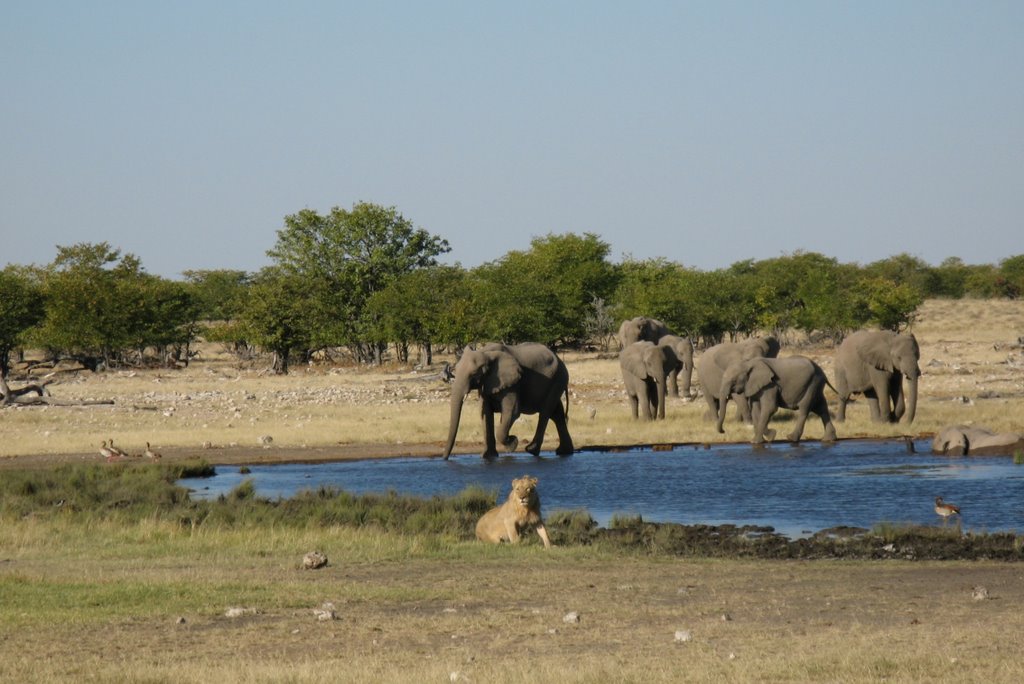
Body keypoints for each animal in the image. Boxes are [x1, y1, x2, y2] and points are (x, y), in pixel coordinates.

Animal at [440, 342, 573, 458]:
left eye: (474, 374)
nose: (444, 458)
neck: (485, 353)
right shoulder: (486, 383)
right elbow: (485, 413)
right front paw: (488, 456)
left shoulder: (513, 383)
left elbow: (512, 412)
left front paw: (512, 443)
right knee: (557, 414)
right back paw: (564, 452)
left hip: (558, 379)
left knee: (545, 413)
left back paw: (532, 450)